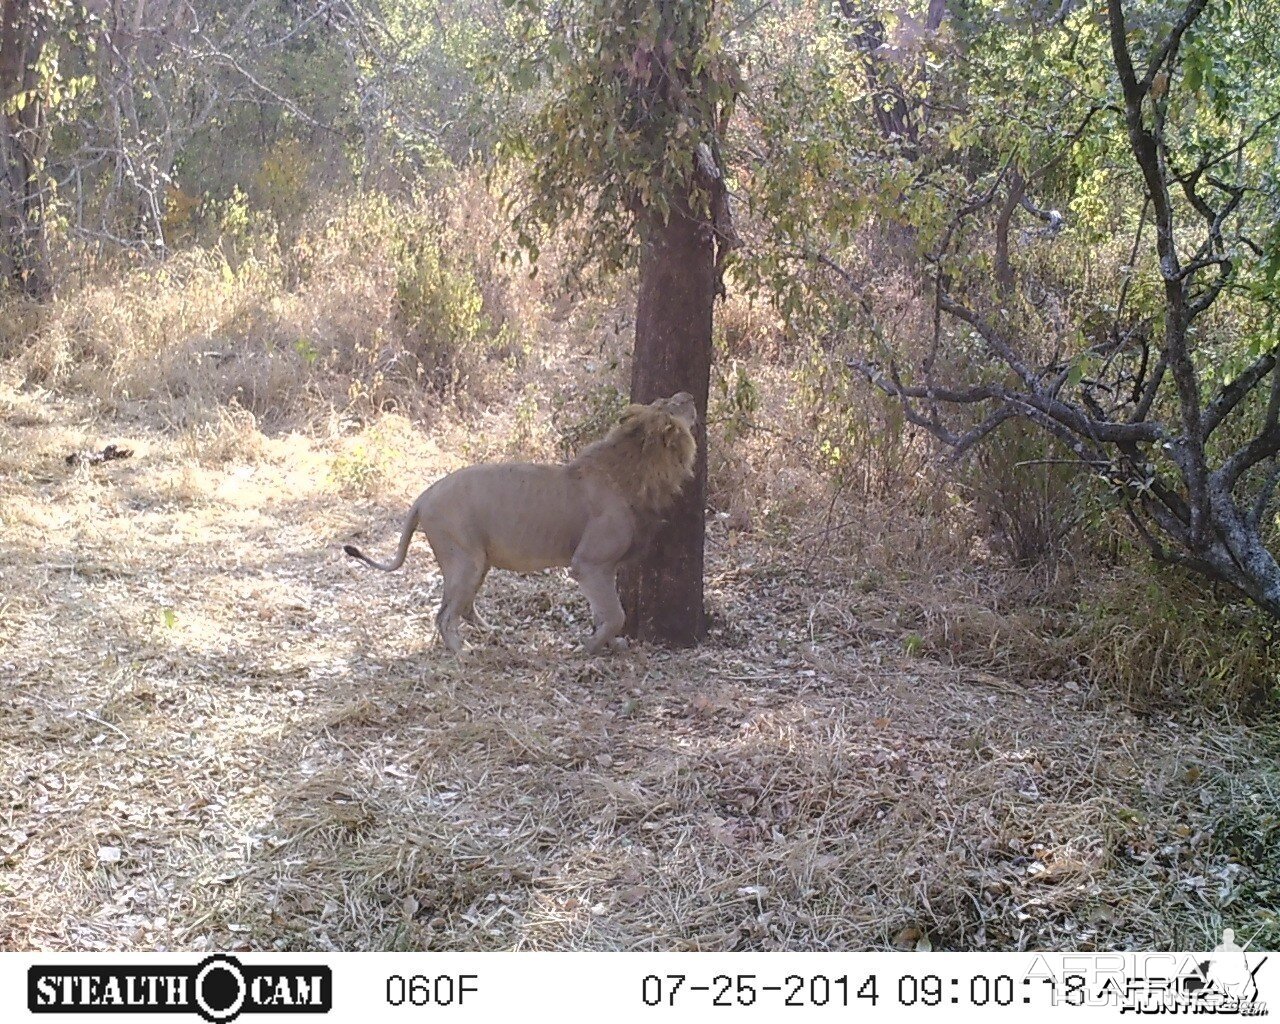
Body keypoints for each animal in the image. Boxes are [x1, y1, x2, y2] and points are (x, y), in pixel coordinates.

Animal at [345, 391, 696, 655]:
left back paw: (493, 632)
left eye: (663, 399)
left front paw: (610, 644)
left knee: (463, 607)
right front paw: (590, 648)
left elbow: (604, 614)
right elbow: (614, 615)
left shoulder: (599, 569)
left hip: (478, 562)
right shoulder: (589, 564)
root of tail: (423, 495)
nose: (689, 395)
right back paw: (464, 653)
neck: (637, 466)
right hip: (465, 559)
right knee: (444, 615)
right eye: (672, 406)